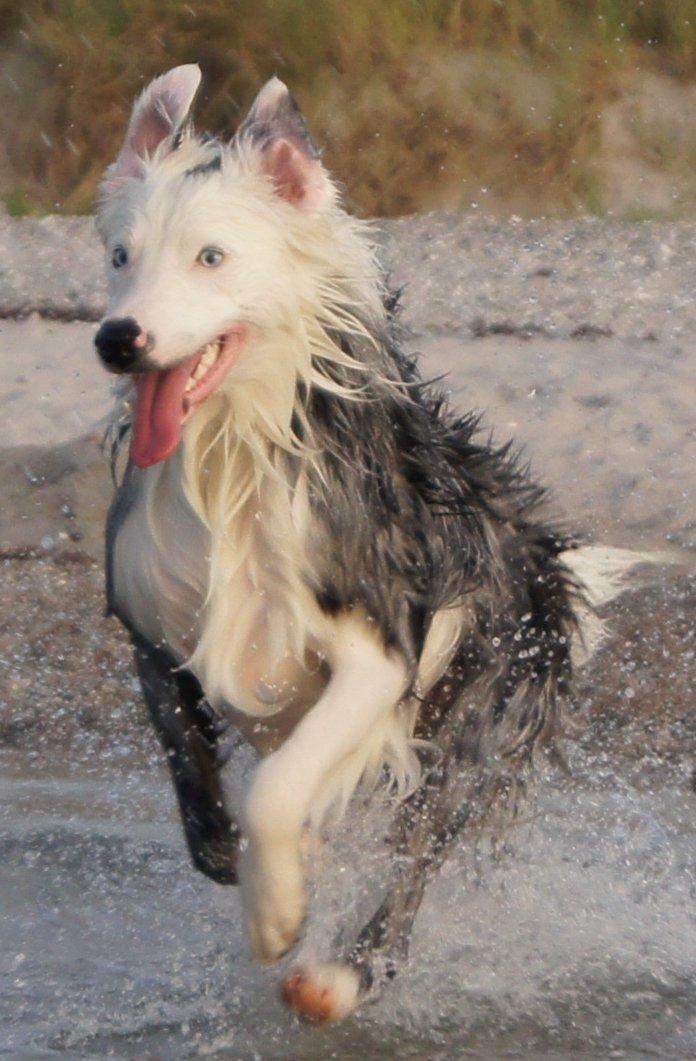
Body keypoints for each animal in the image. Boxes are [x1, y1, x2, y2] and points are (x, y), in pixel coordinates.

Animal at [94, 64, 645, 1018]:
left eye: (211, 257)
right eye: (123, 255)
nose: (119, 339)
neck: (232, 458)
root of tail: (544, 554)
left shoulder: (379, 643)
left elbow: (280, 791)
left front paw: (278, 912)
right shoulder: (153, 625)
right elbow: (197, 786)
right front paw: (258, 864)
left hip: (485, 703)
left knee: (421, 845)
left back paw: (342, 972)